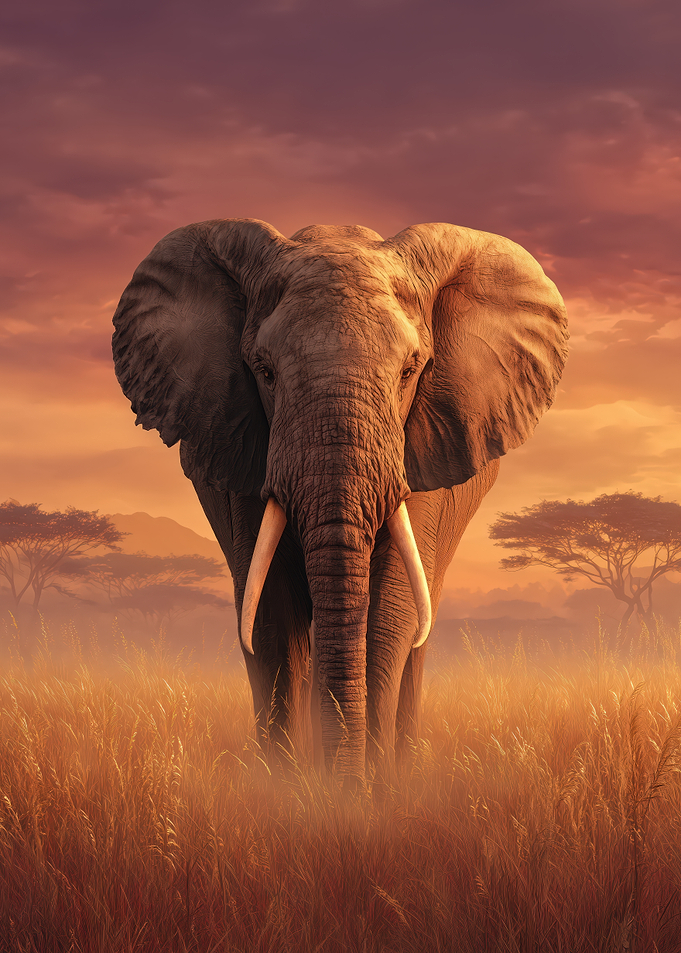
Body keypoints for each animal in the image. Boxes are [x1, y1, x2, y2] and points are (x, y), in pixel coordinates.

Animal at [112, 219, 568, 787]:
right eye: (264, 372)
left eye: (411, 370)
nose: (343, 780)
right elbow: (270, 612)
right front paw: (290, 787)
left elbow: (391, 610)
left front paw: (370, 788)